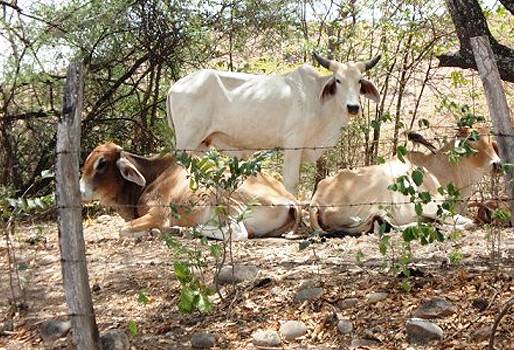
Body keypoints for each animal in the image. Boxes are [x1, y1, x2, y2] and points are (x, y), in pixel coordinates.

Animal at [78, 143, 298, 241]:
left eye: (102, 163)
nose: (80, 191)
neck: (151, 177)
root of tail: (290, 200)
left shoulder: (159, 214)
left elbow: (122, 229)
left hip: (222, 194)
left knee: (236, 233)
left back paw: (184, 230)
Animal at [168, 53, 380, 193]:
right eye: (338, 80)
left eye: (359, 80)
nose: (353, 107)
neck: (316, 99)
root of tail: (175, 86)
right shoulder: (294, 141)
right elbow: (291, 181)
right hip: (186, 142)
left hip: (201, 144)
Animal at [308, 127, 500, 234]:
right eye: (472, 138)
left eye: (491, 138)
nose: (497, 164)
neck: (439, 170)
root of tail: (317, 199)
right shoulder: (431, 207)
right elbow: (468, 222)